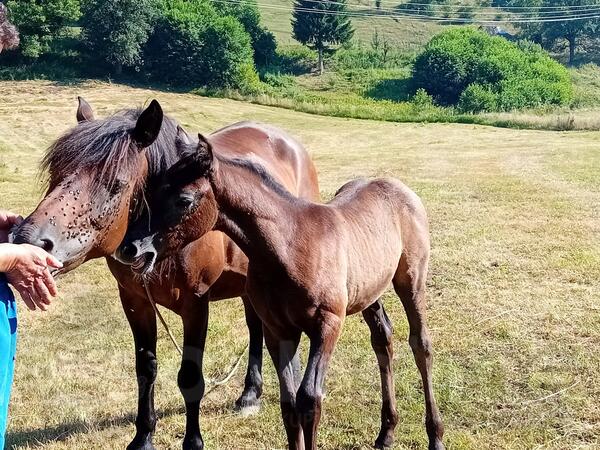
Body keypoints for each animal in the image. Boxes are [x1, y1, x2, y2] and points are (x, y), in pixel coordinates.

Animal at [118, 135, 446, 448]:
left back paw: (435, 437)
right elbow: (289, 405)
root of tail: (398, 187)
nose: (129, 248)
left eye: (184, 200)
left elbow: (309, 400)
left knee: (421, 344)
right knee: (382, 339)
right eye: (149, 193)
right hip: (369, 292)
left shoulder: (328, 325)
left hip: (410, 281)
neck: (288, 246)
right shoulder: (278, 331)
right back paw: (386, 432)